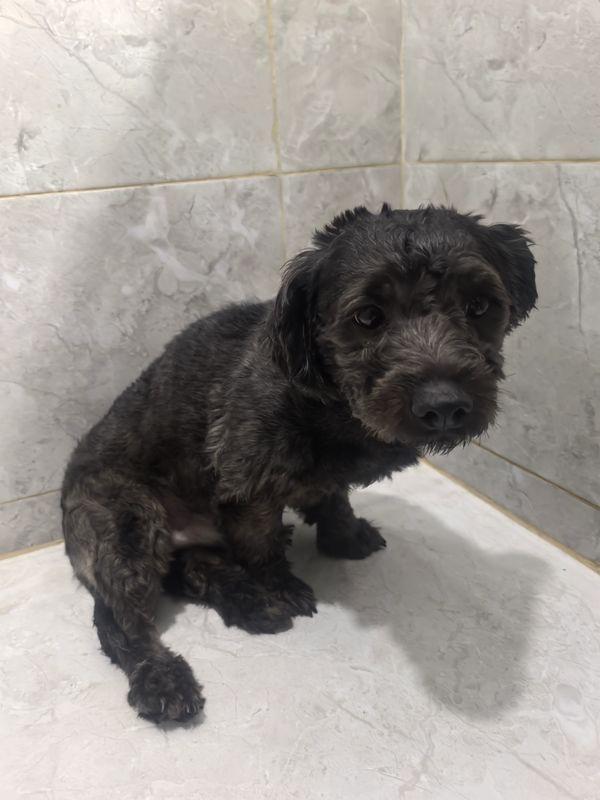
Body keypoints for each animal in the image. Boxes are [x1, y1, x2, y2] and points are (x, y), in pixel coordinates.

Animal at [61, 204, 537, 723]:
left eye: (479, 306)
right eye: (367, 316)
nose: (444, 406)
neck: (332, 406)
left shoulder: (318, 481)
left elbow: (334, 500)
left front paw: (344, 538)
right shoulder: (246, 484)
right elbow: (261, 547)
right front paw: (280, 586)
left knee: (193, 572)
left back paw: (248, 604)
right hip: (126, 522)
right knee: (119, 621)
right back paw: (164, 676)